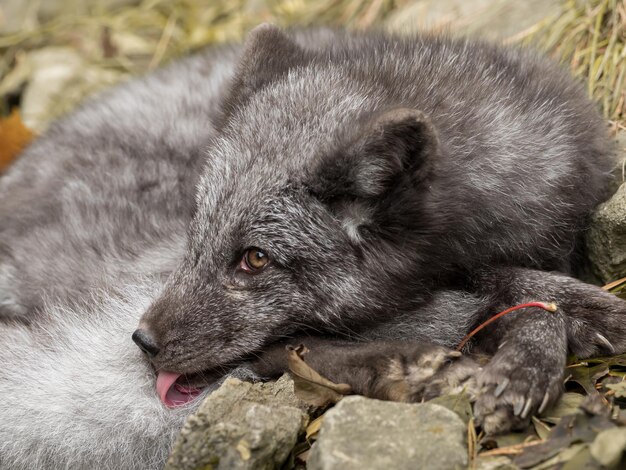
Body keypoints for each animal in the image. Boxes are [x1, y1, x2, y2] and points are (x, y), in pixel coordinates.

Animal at [1, 26, 624, 470]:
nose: (143, 342)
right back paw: (404, 364)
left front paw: (559, 333)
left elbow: (524, 282)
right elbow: (507, 286)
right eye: (196, 229)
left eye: (254, 258)